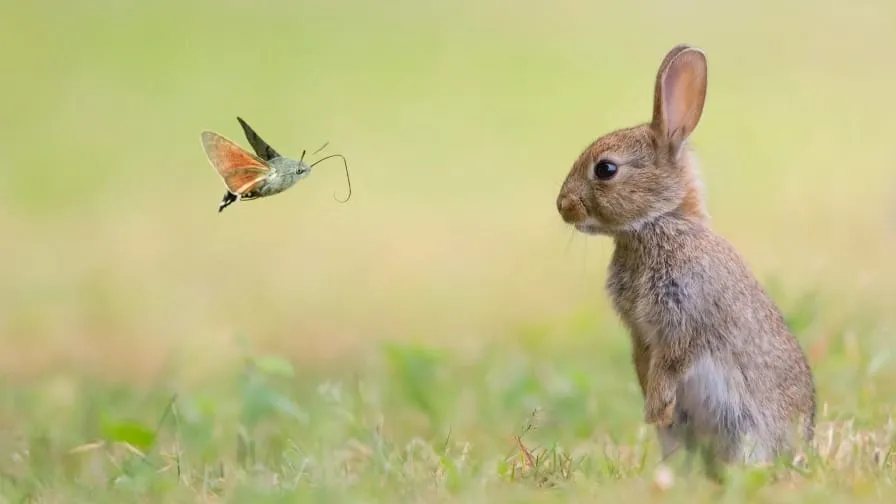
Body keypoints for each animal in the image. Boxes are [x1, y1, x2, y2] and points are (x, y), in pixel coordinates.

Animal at [555, 44, 816, 469]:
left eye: (606, 169)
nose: (563, 207)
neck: (657, 223)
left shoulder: (685, 315)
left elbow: (673, 360)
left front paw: (655, 407)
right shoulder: (640, 331)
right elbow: (644, 358)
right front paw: (651, 403)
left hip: (747, 431)